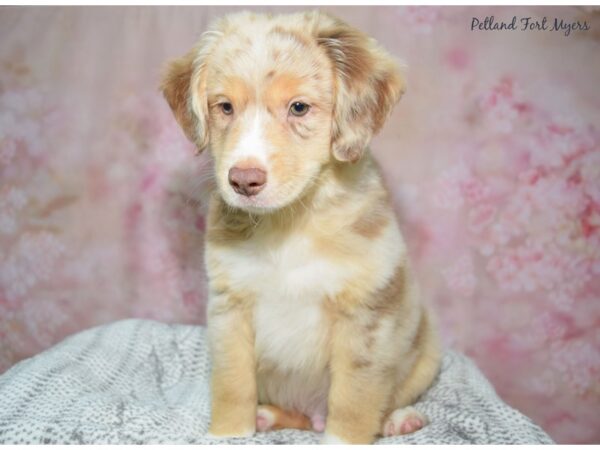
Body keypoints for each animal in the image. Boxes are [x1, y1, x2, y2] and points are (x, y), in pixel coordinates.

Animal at [162, 9, 442, 442]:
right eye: (224, 107)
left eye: (298, 108)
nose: (243, 180)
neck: (289, 224)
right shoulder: (230, 306)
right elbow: (232, 384)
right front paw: (229, 432)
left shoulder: (365, 314)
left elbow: (354, 398)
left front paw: (345, 439)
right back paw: (267, 416)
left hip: (427, 353)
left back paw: (400, 419)